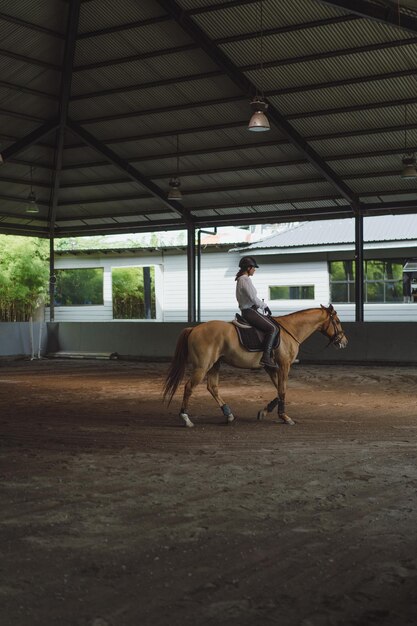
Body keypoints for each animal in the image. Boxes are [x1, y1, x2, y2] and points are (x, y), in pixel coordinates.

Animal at [163, 304, 348, 426]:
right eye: (338, 321)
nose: (344, 342)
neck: (290, 330)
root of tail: (194, 329)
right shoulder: (284, 365)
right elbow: (282, 389)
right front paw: (284, 417)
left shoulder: (272, 367)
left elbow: (280, 389)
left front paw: (264, 411)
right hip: (202, 366)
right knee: (189, 387)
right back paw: (186, 418)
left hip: (215, 364)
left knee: (212, 387)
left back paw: (228, 415)